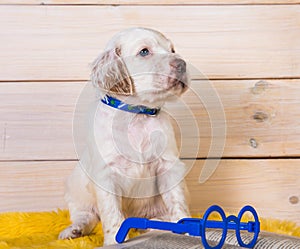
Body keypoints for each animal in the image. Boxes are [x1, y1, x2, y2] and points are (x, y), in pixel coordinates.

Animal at [59, 27, 191, 245]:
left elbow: (177, 201)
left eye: (172, 50)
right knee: (86, 215)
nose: (182, 64)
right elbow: (112, 214)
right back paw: (74, 230)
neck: (136, 114)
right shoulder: (106, 175)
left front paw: (187, 231)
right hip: (75, 187)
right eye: (144, 52)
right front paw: (114, 241)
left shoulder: (168, 166)